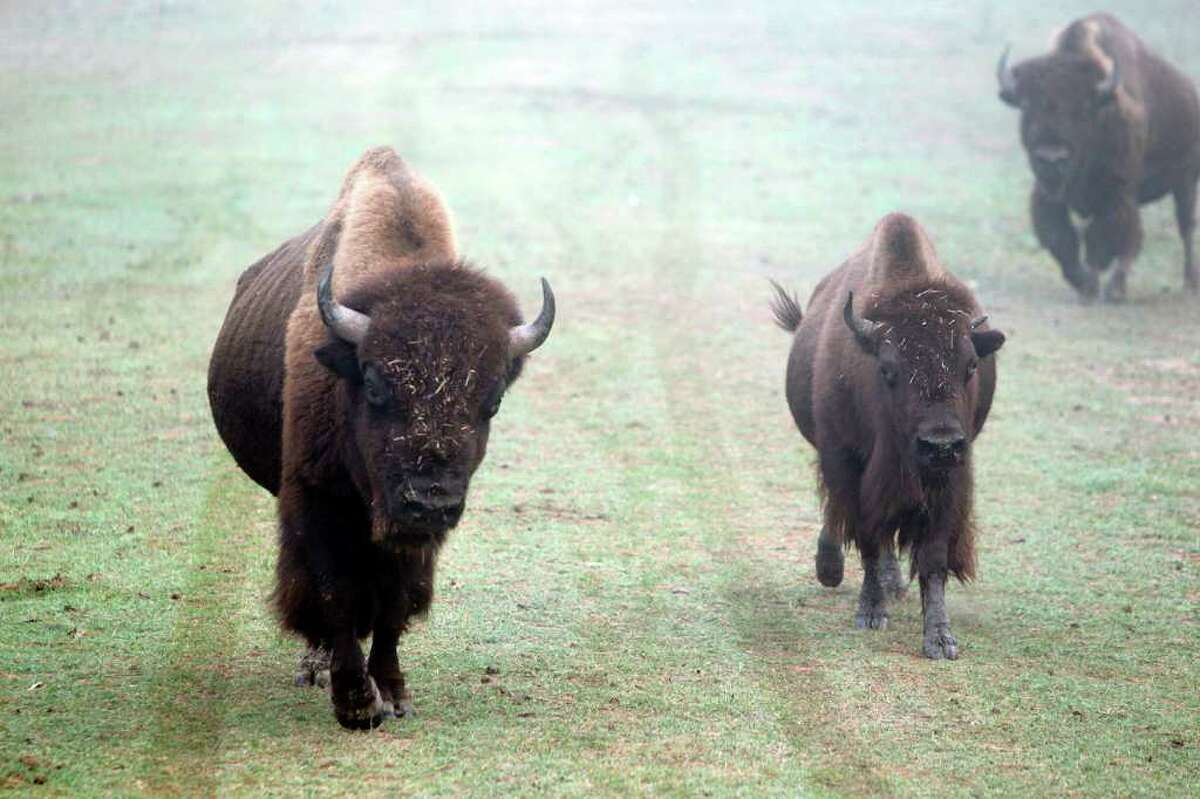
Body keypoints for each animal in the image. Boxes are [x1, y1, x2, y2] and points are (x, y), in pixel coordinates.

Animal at [207, 147, 555, 728]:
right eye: (373, 385)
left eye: (493, 400)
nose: (428, 502)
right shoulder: (317, 500)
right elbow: (336, 594)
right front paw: (355, 704)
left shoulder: (415, 542)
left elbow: (395, 602)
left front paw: (392, 692)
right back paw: (314, 666)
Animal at [771, 213, 1005, 659]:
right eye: (888, 369)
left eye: (970, 366)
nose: (940, 444)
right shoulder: (846, 462)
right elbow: (867, 537)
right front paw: (871, 612)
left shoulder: (947, 481)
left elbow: (932, 556)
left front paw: (940, 638)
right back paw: (833, 569)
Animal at [998, 13, 1200, 301]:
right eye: (1026, 105)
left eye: (1082, 109)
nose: (1051, 157)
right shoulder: (1048, 194)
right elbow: (1061, 239)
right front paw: (1083, 284)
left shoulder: (1115, 191)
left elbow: (1100, 238)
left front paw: (1092, 287)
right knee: (1136, 237)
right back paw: (1117, 287)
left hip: (1186, 180)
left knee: (1184, 227)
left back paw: (1185, 284)